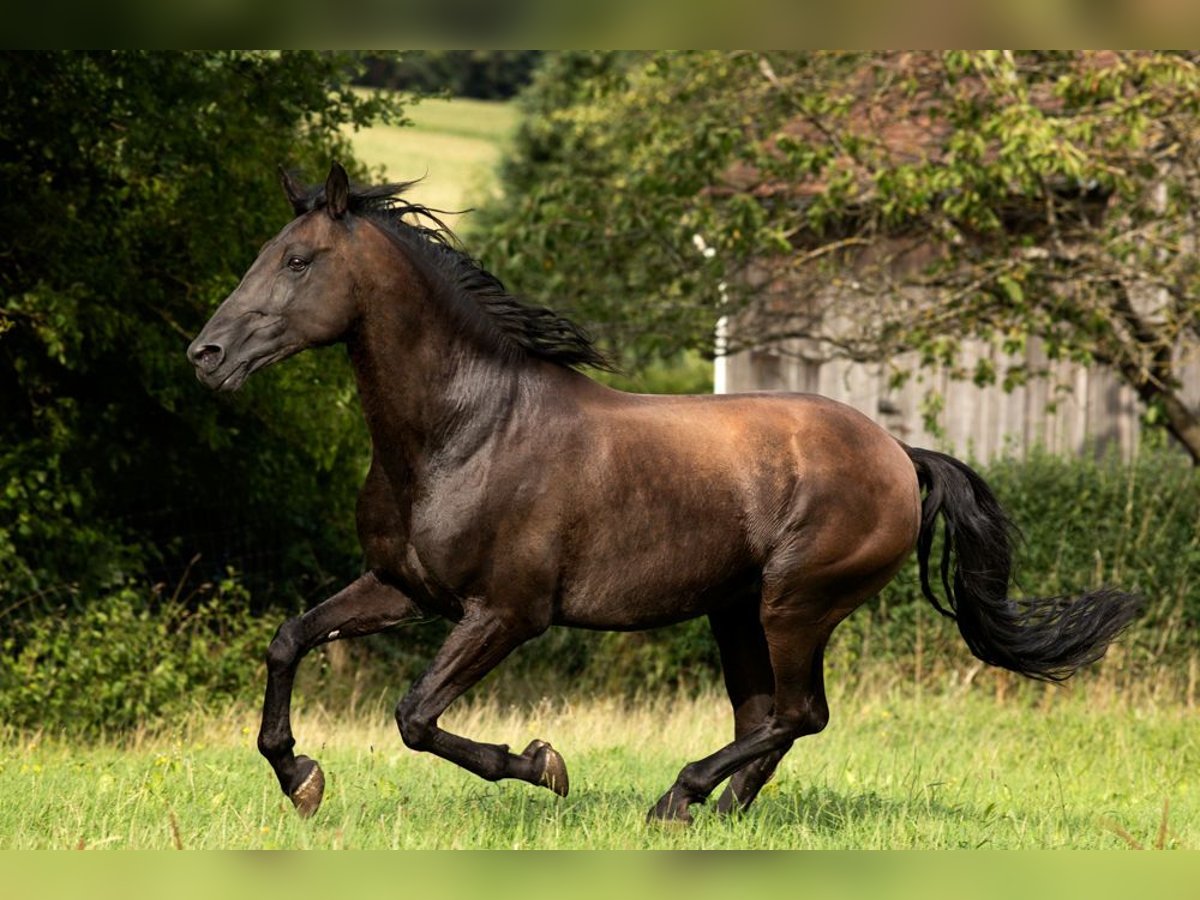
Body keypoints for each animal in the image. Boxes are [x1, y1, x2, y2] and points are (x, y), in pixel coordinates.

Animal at [187, 162, 1142, 825]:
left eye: (299, 261)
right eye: (264, 255)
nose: (206, 356)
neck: (466, 430)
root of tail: (901, 457)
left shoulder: (506, 612)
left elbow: (415, 716)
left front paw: (544, 764)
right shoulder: (404, 588)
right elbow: (289, 640)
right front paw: (300, 777)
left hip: (796, 605)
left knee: (800, 713)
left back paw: (677, 797)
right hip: (737, 610)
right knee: (771, 717)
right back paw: (713, 813)